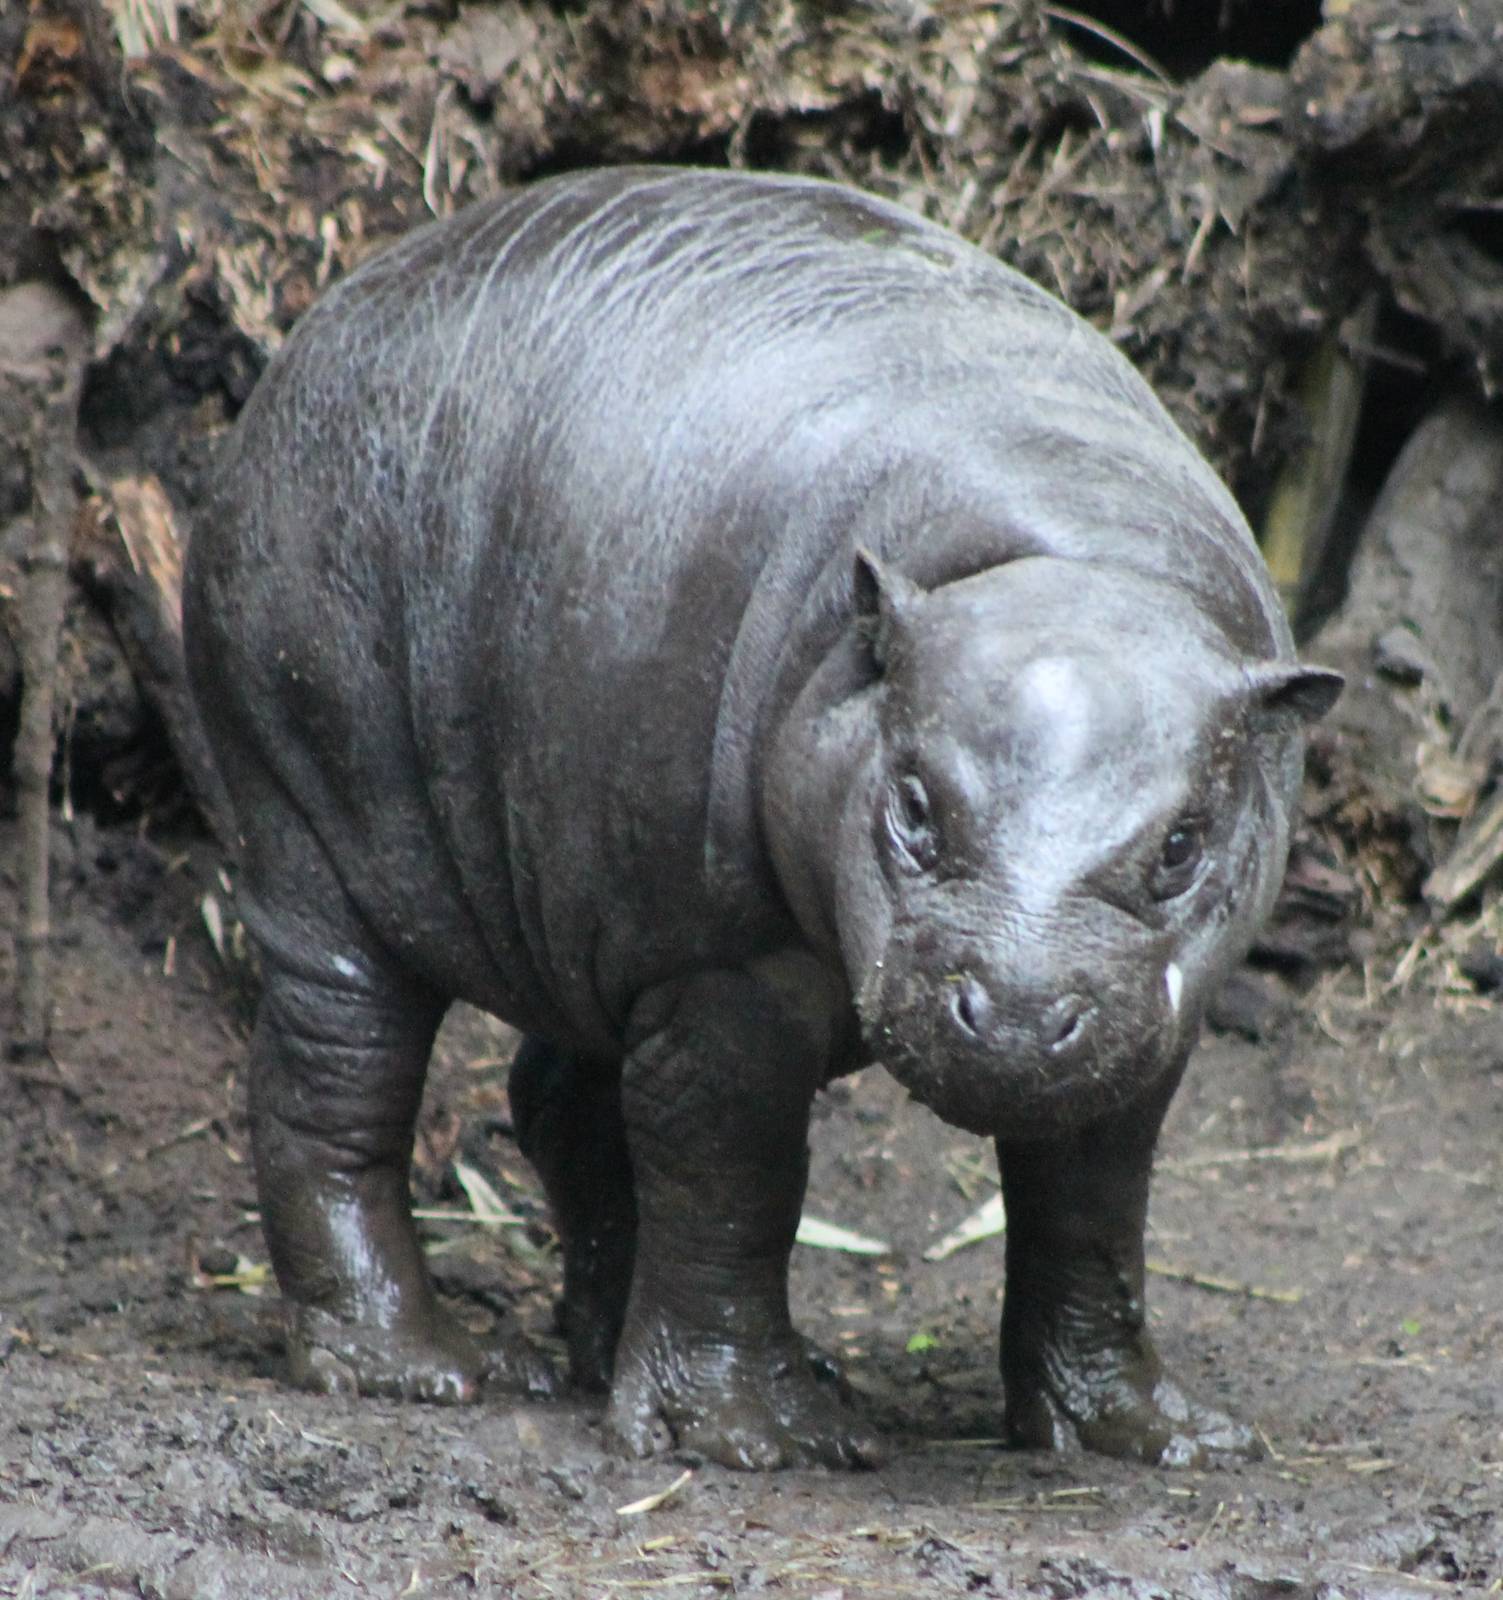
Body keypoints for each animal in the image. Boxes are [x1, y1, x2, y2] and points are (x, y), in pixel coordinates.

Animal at [183, 165, 1340, 1471]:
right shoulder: (719, 966)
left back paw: (596, 1355)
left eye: (1183, 843)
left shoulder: (1147, 1025)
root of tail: (326, 318)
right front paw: (755, 1435)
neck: (1069, 567)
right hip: (314, 816)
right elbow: (728, 1172)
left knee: (559, 1100)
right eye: (917, 803)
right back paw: (428, 1367)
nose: (1015, 1010)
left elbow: (1092, 1208)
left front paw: (1149, 1434)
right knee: (331, 1083)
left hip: (580, 895)